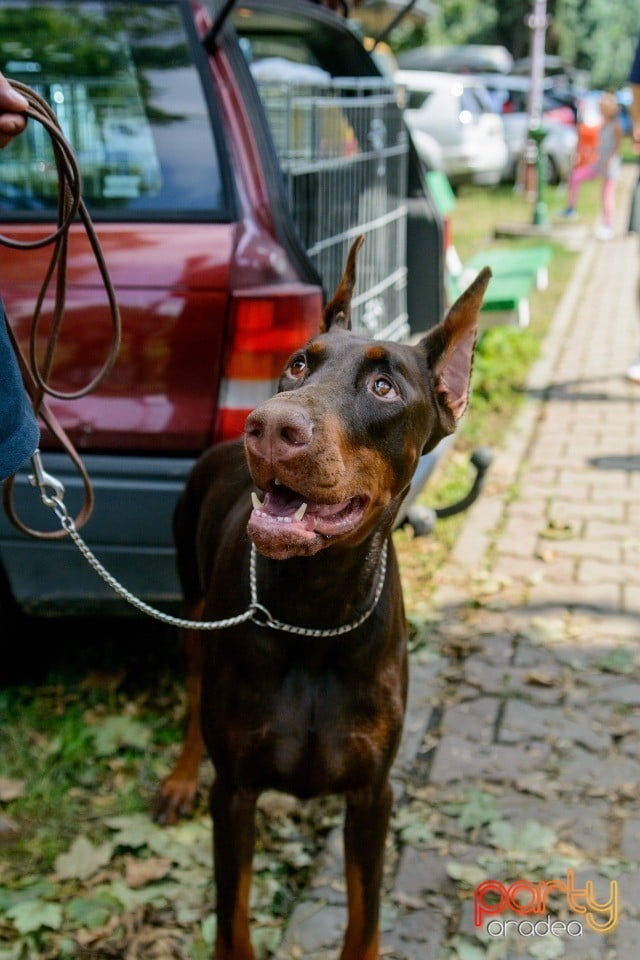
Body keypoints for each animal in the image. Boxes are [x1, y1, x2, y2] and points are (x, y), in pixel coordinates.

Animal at [154, 234, 490, 960]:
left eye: (384, 387)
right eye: (297, 365)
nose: (267, 426)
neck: (314, 610)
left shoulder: (373, 793)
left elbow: (364, 917)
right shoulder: (236, 790)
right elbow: (234, 917)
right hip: (192, 612)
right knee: (192, 694)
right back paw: (181, 777)